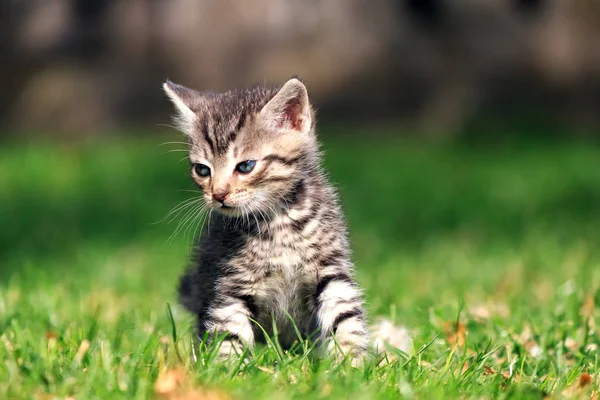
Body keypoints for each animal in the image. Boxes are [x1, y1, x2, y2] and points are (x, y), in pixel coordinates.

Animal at [164, 76, 370, 360]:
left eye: (245, 166)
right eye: (202, 170)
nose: (218, 194)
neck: (277, 221)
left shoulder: (330, 270)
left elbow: (345, 316)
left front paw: (351, 362)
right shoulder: (231, 284)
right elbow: (229, 331)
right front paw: (227, 367)